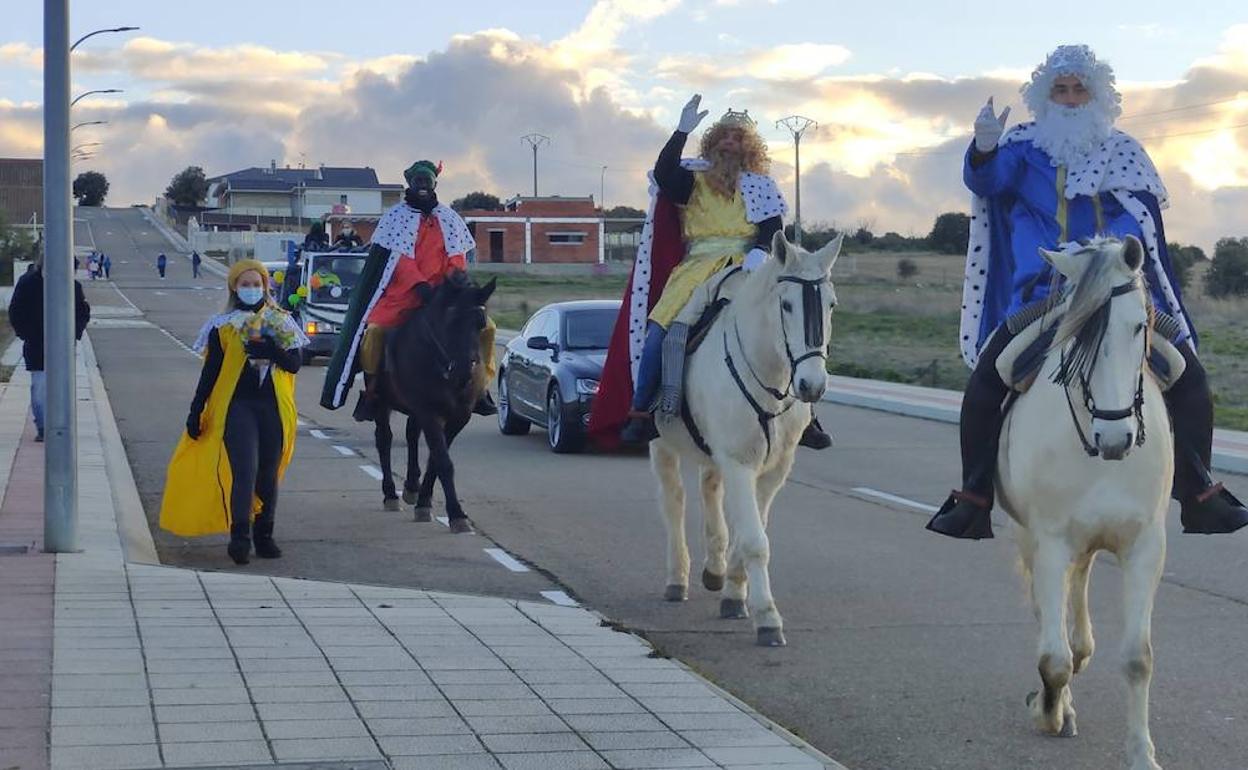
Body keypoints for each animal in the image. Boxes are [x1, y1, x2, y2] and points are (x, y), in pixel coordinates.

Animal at [374, 275, 496, 534]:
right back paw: (390, 494)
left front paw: (424, 501)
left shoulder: (459, 416)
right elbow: (443, 461)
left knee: (411, 434)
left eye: (480, 324)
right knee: (384, 439)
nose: (464, 372)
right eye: (450, 320)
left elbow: (435, 459)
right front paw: (456, 514)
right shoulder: (429, 412)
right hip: (381, 399)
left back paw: (411, 485)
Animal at [648, 230, 843, 643]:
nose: (812, 385)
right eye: (786, 305)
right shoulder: (739, 462)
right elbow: (755, 540)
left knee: (709, 490)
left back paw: (714, 567)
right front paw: (767, 617)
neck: (770, 376)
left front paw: (733, 590)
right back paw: (677, 579)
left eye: (831, 304)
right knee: (673, 501)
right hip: (662, 445)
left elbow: (751, 528)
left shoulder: (773, 468)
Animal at [998, 235, 1173, 768]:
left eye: (1138, 325)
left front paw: (1141, 754)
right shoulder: (1050, 543)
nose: (1115, 438)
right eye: (1075, 337)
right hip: (1032, 540)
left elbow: (1137, 658)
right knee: (1049, 621)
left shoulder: (1144, 547)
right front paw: (1050, 710)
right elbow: (1052, 660)